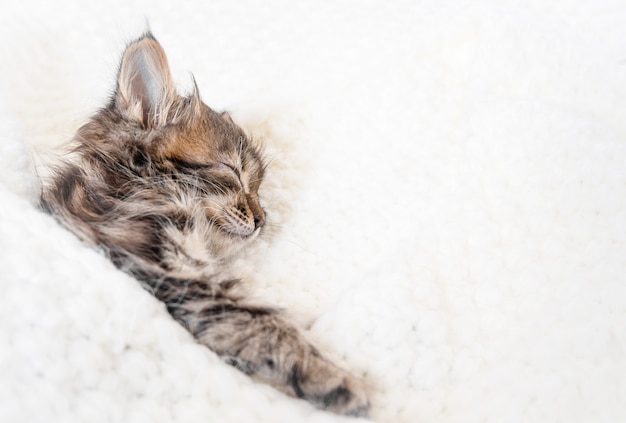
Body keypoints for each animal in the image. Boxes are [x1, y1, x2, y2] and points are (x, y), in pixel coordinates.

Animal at [40, 34, 370, 418]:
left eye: (258, 188)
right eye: (233, 172)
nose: (262, 219)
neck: (135, 187)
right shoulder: (166, 272)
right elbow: (264, 323)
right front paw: (333, 376)